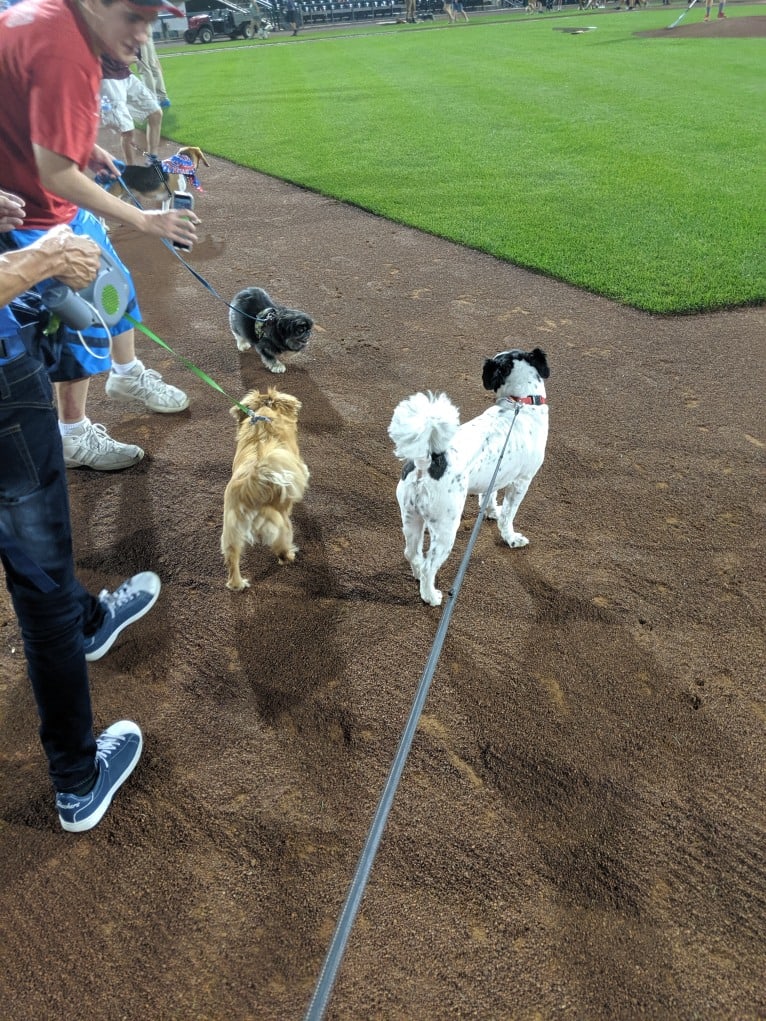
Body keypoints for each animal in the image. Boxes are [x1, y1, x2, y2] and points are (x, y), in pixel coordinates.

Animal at [220, 387, 310, 592]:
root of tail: (252, 483)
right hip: (282, 524)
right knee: (281, 549)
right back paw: (290, 555)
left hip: (230, 531)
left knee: (232, 559)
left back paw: (237, 584)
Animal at [390, 351, 551, 604]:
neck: (519, 404)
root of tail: (427, 461)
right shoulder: (521, 481)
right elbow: (508, 516)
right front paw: (511, 538)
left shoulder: (494, 476)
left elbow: (489, 497)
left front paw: (491, 512)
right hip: (445, 527)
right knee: (429, 565)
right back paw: (431, 596)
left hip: (411, 517)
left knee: (412, 554)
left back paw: (418, 577)